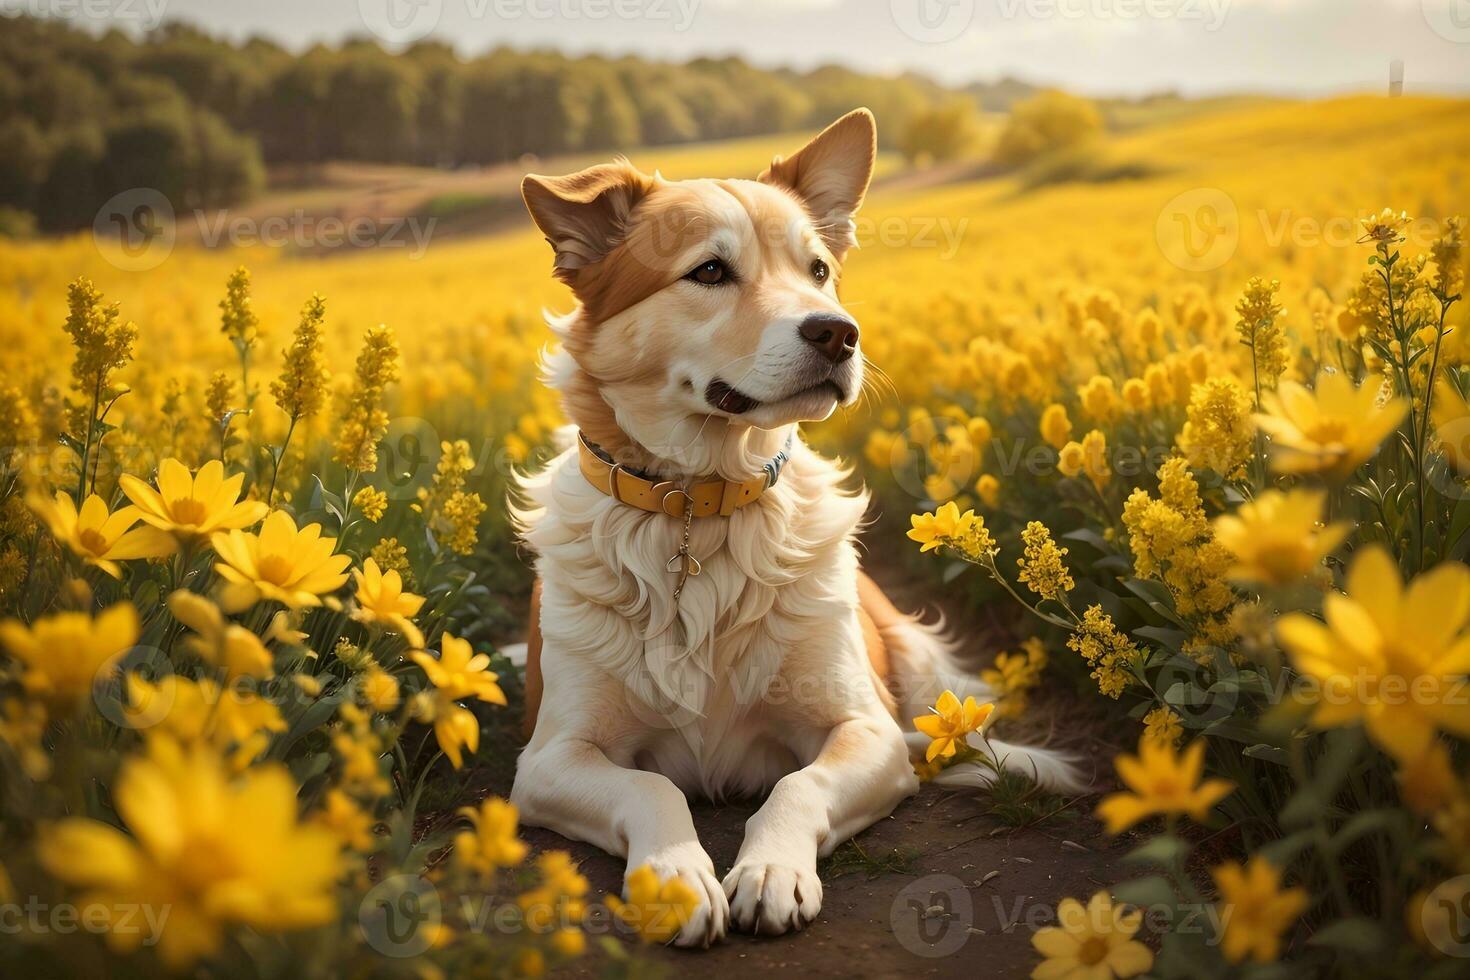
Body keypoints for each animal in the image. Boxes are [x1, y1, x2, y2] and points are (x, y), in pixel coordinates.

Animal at [511, 109, 1087, 952]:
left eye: (818, 270)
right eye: (709, 272)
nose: (839, 333)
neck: (702, 508)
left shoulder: (865, 731)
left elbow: (796, 784)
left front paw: (770, 872)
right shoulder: (551, 758)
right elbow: (650, 787)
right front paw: (676, 877)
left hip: (913, 659)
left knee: (953, 725)